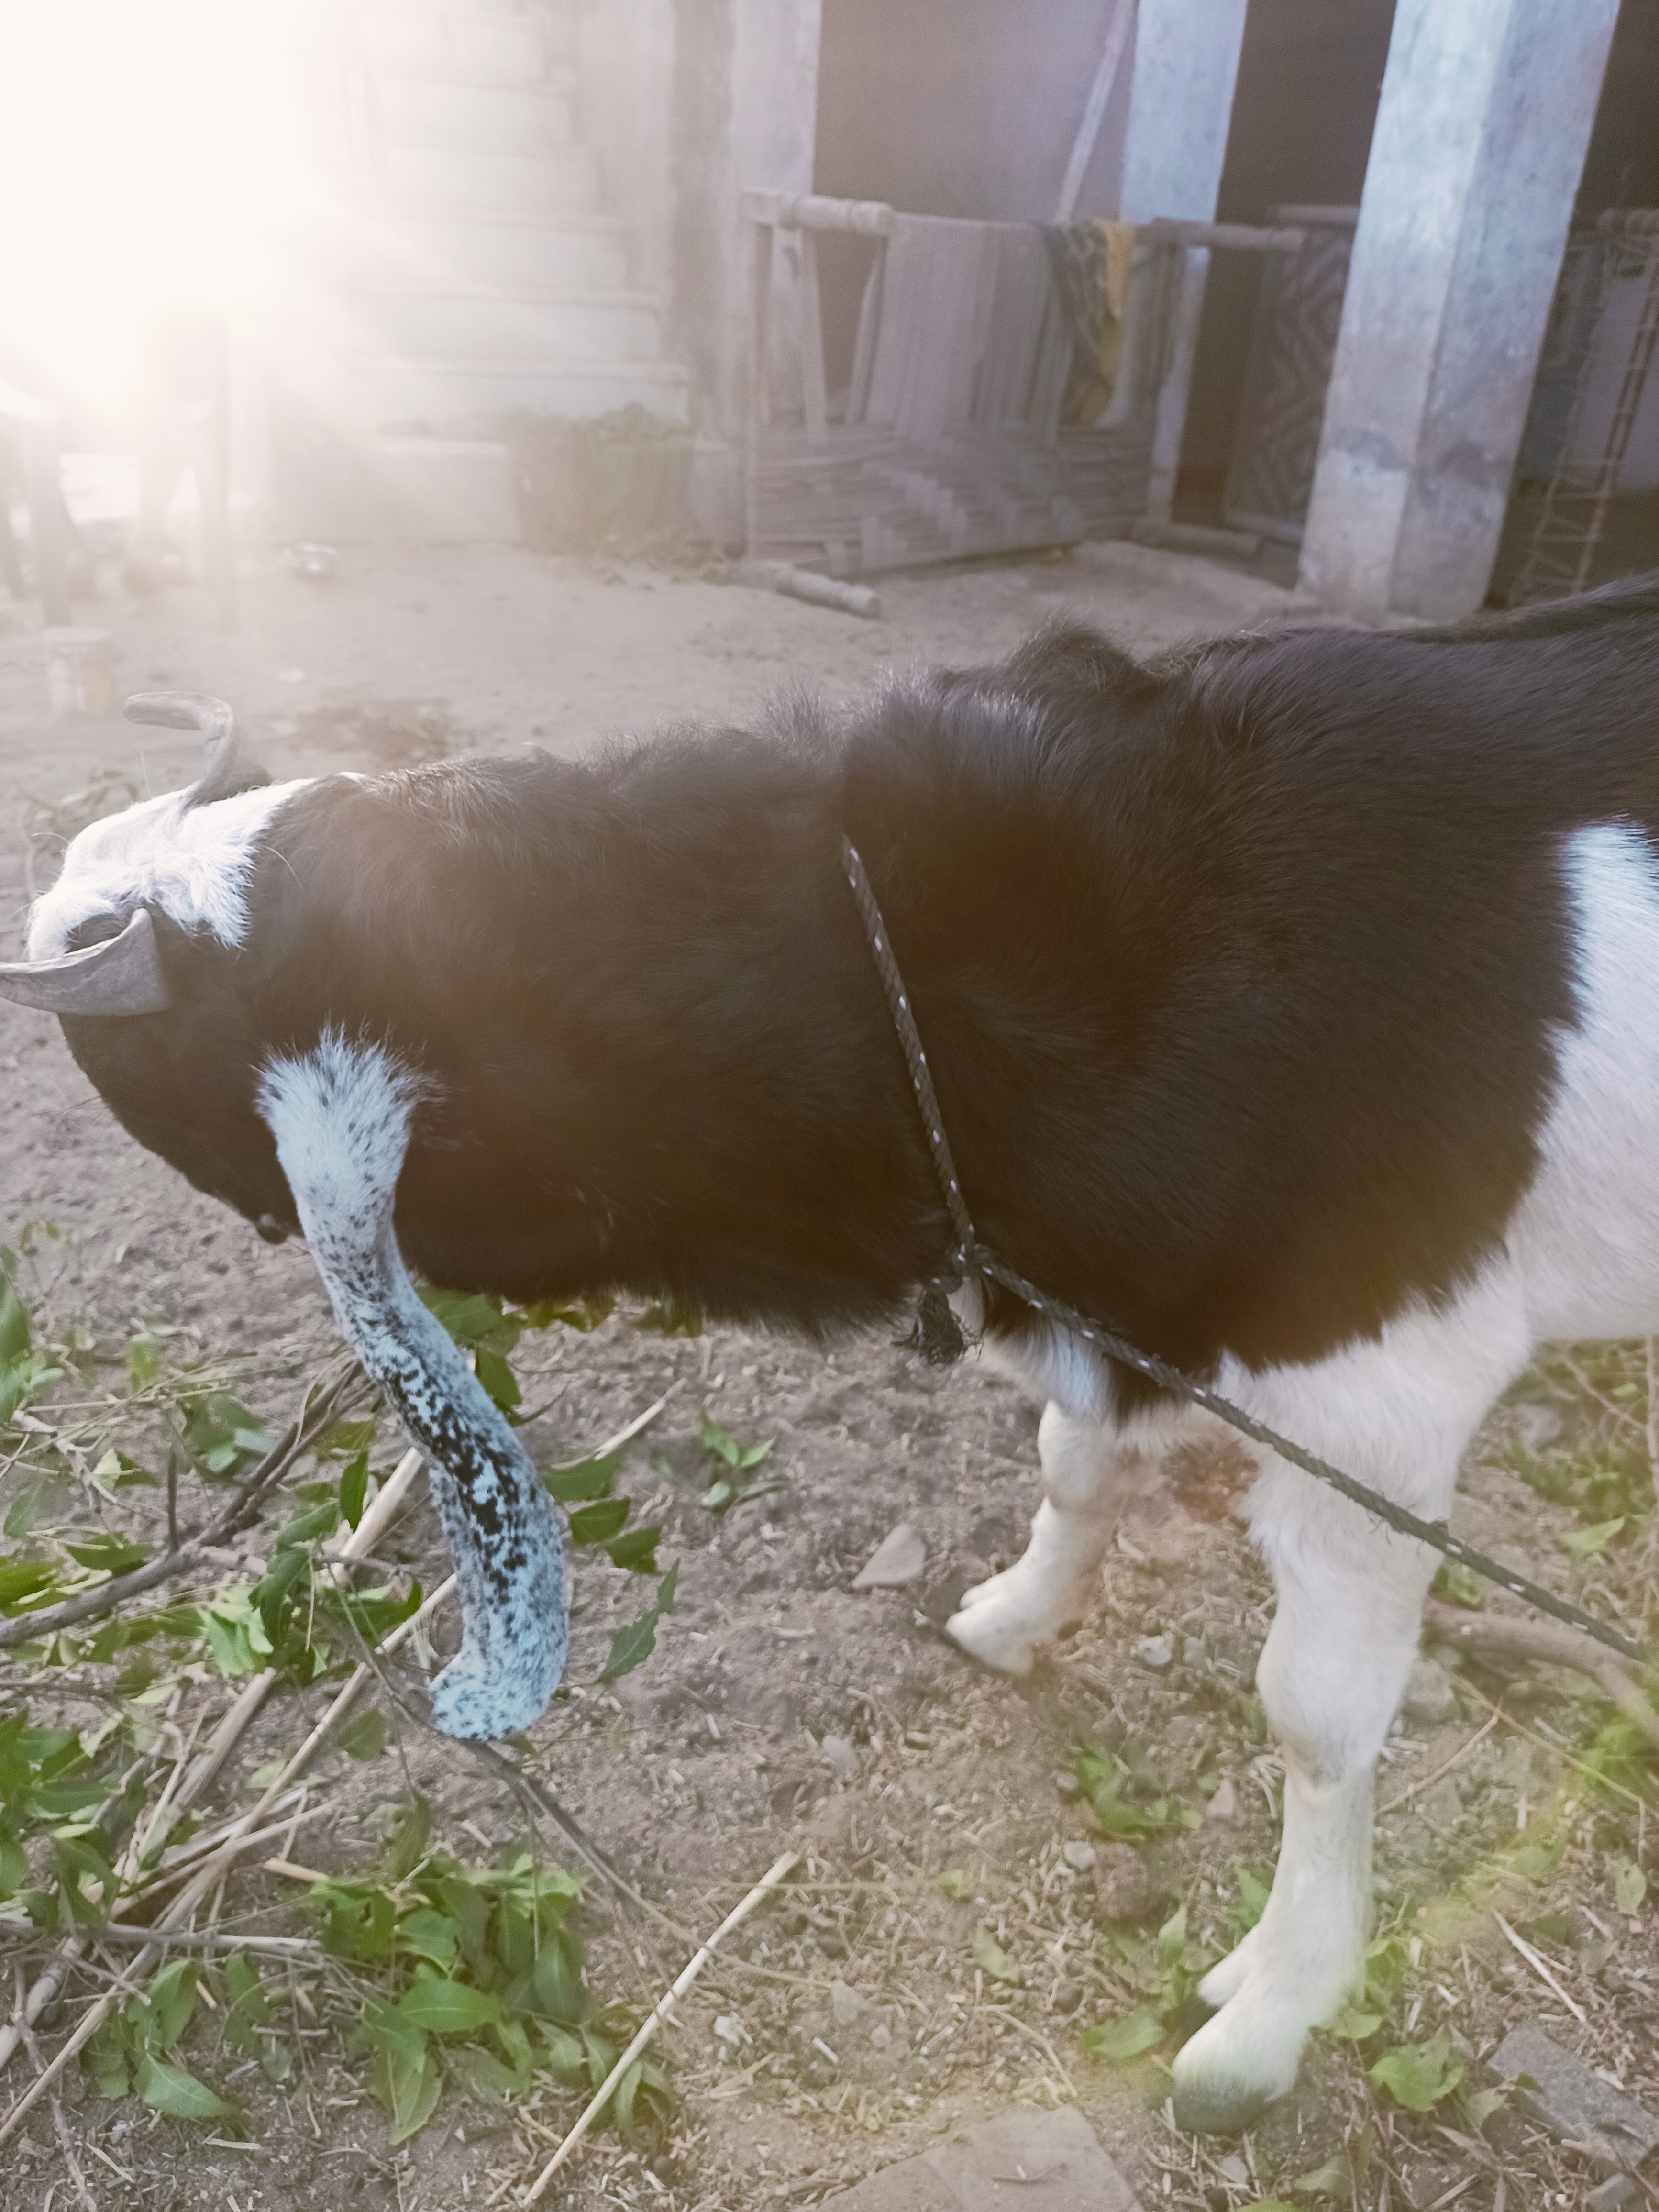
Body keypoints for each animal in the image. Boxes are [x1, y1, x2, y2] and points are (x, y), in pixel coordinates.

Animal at [6, 581, 1659, 2133]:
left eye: (149, 1060)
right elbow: (1072, 1466)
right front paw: (1012, 1618)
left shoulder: (1380, 1396)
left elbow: (1314, 1713)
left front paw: (1264, 2018)